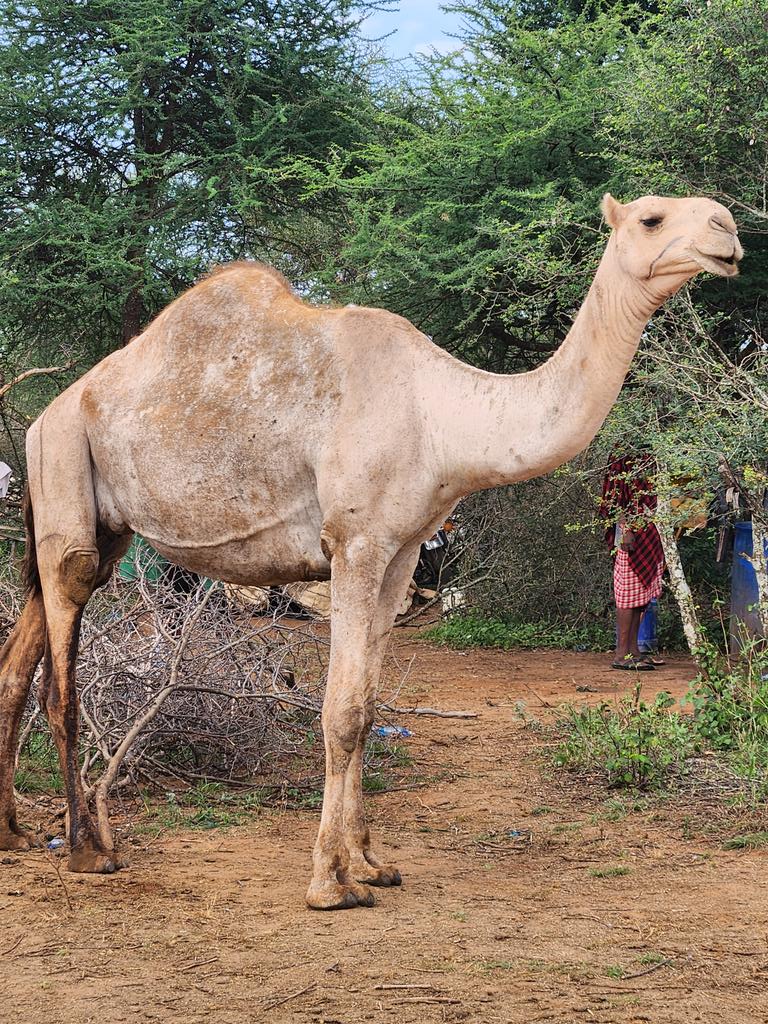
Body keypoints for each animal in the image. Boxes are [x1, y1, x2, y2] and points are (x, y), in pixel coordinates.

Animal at [0, 193, 741, 910]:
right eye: (652, 218)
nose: (728, 229)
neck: (442, 417)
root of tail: (44, 416)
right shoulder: (353, 542)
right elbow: (343, 712)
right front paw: (330, 883)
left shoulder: (403, 551)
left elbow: (370, 703)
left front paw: (370, 864)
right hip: (64, 467)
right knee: (60, 669)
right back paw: (88, 849)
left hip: (97, 516)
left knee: (20, 655)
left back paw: (15, 832)